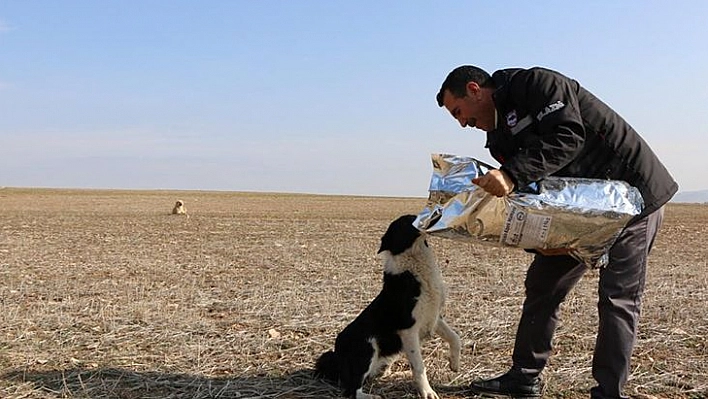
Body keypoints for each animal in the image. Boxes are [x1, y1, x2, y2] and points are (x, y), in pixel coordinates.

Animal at [314, 216, 460, 399]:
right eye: (408, 221)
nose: (436, 214)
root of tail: (336, 355)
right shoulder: (408, 328)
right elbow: (419, 366)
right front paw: (427, 392)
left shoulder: (433, 316)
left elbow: (455, 337)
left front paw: (454, 363)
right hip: (367, 347)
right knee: (352, 390)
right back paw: (374, 396)